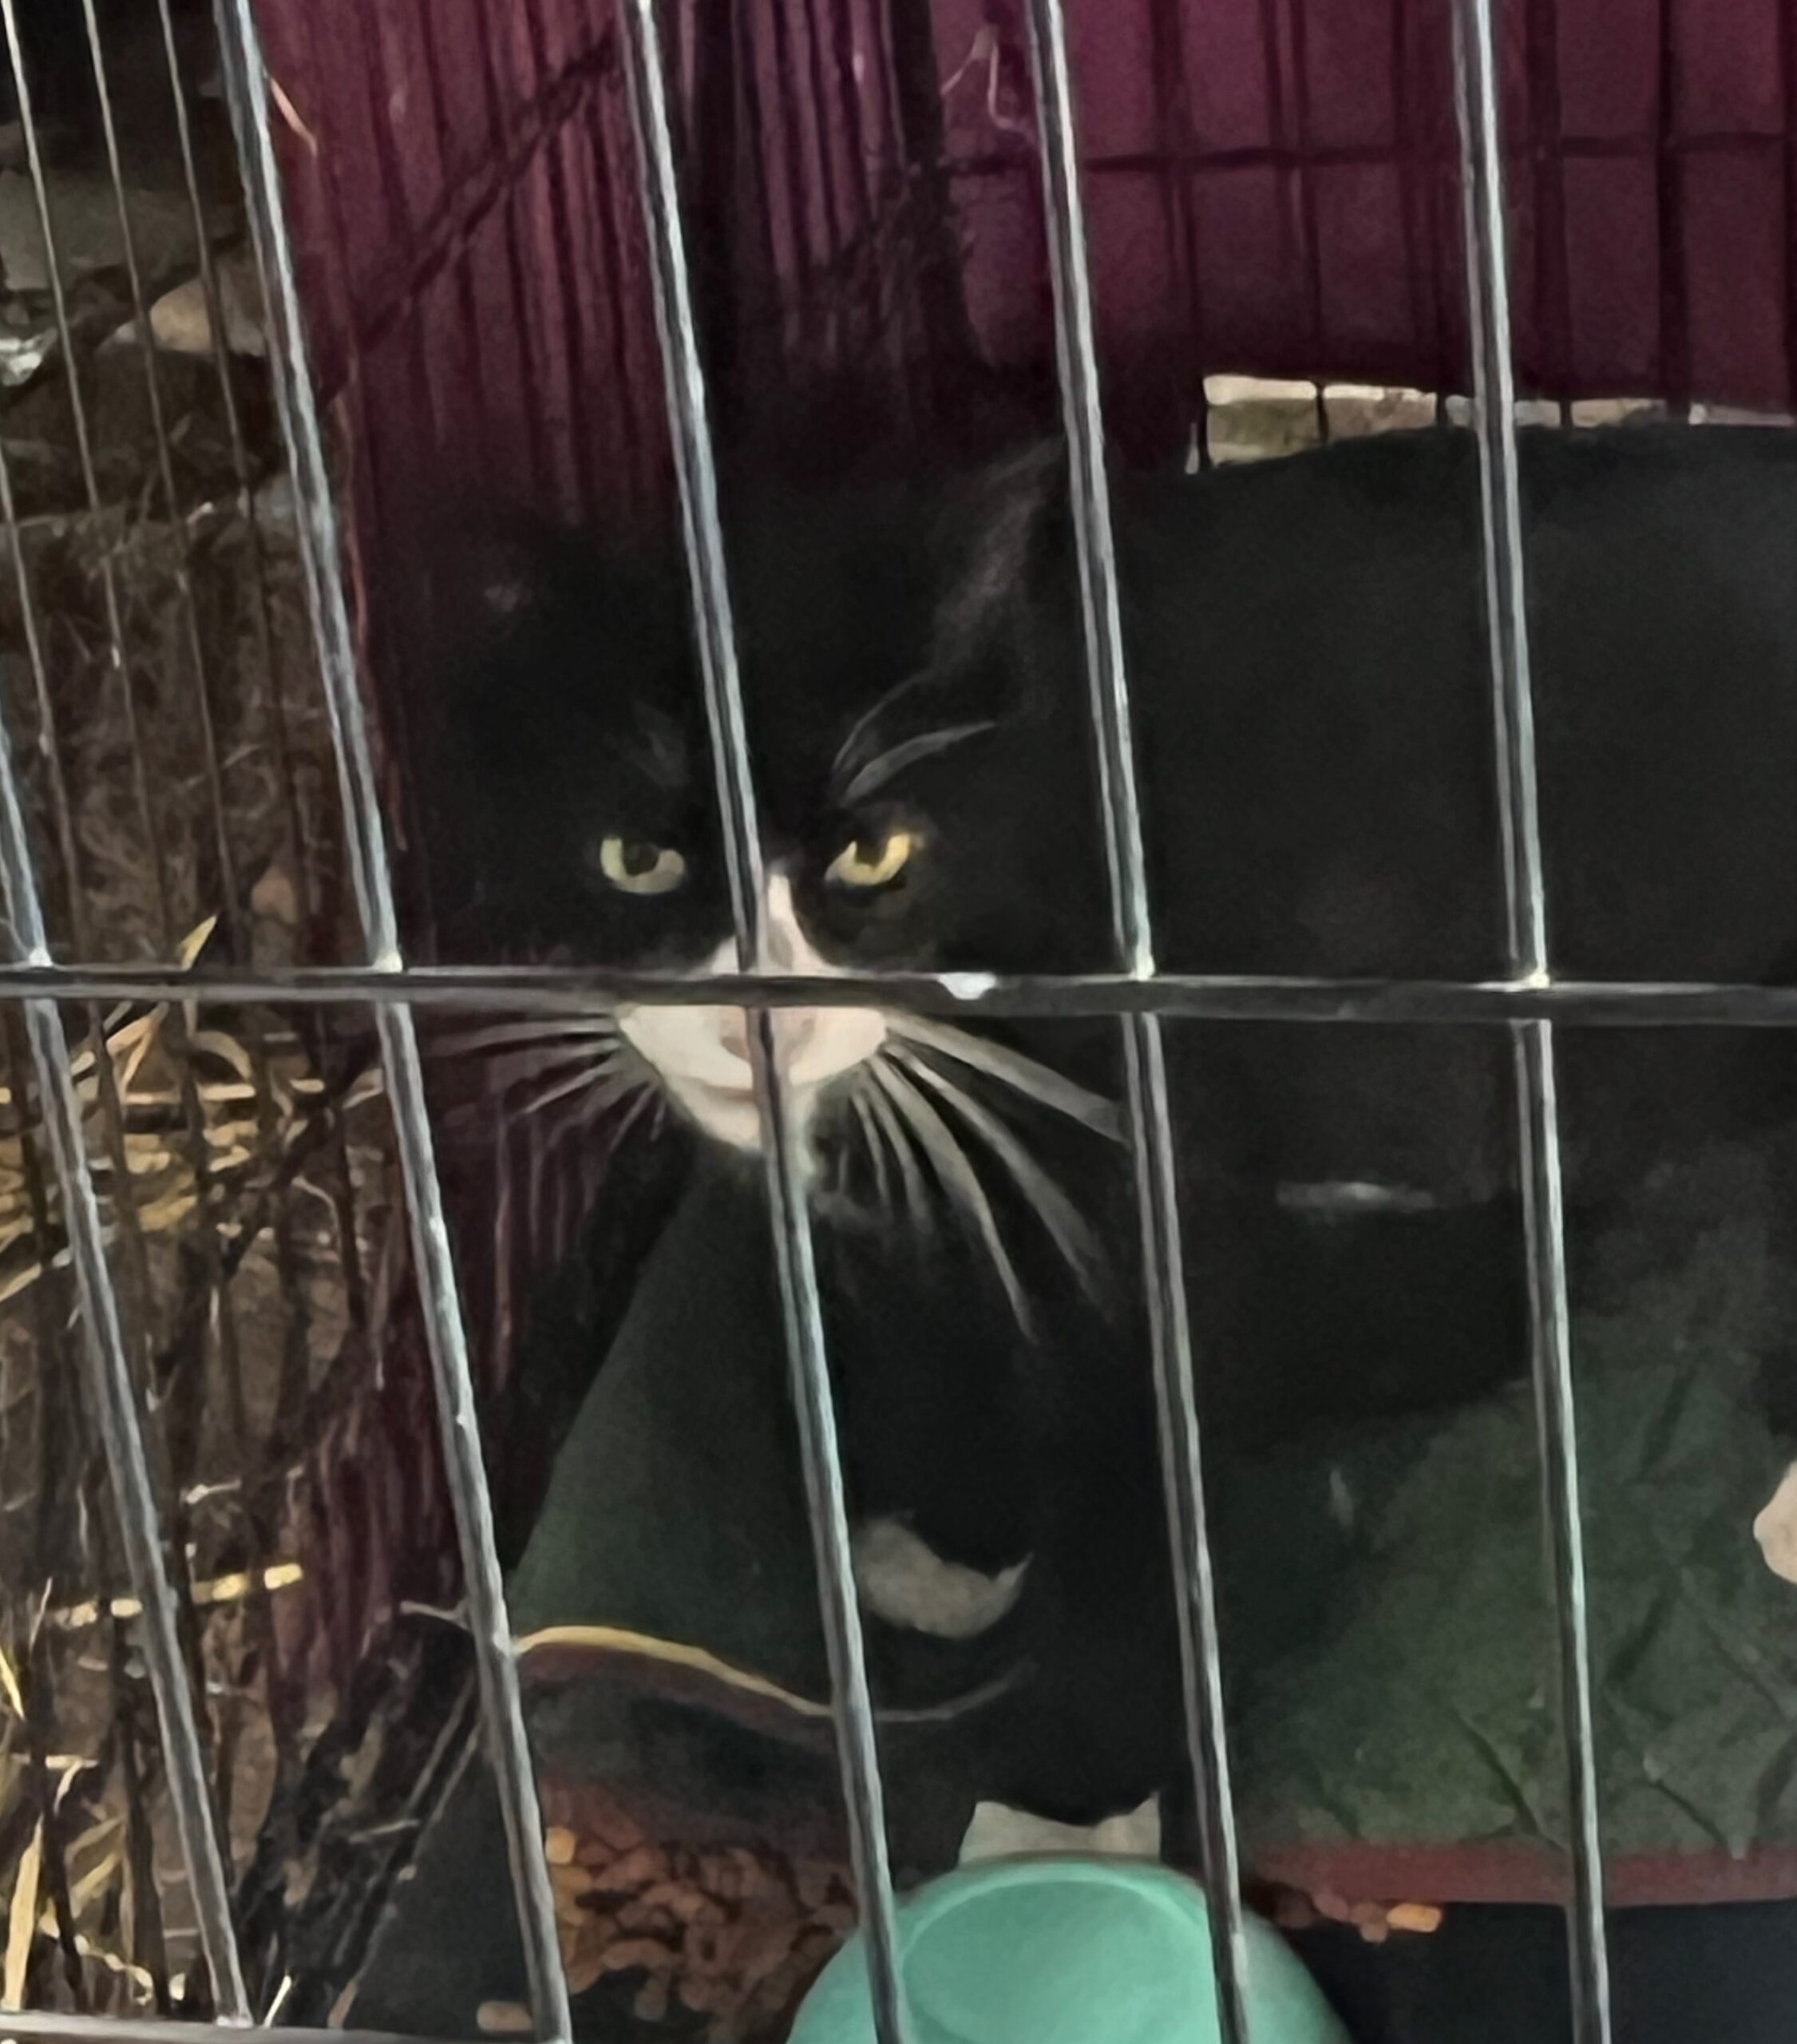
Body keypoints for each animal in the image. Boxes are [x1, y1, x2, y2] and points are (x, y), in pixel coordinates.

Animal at [425, 422, 1797, 1831]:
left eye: (874, 855)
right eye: (633, 860)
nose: (761, 1030)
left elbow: (1145, 1489)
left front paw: (1067, 1801)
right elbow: (952, 1319)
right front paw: (950, 1546)